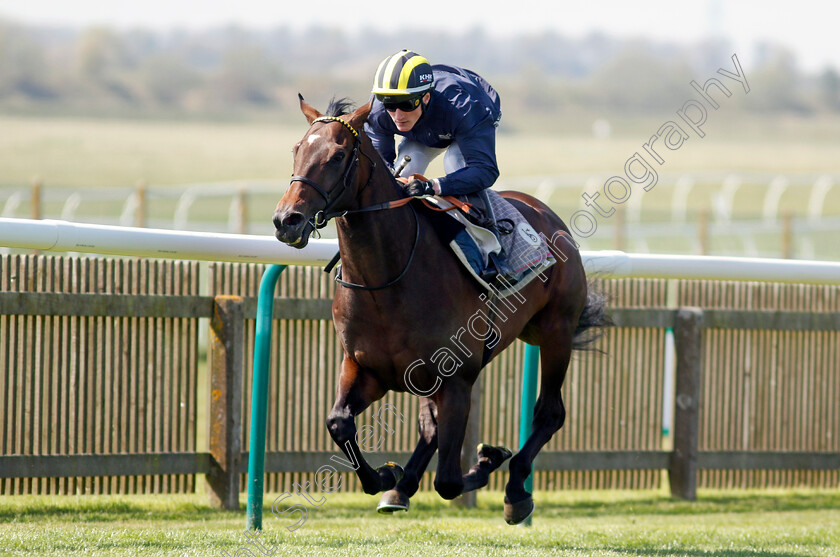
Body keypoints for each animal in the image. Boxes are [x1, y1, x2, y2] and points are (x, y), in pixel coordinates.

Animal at [272, 93, 608, 524]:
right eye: (297, 150)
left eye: (338, 155)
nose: (286, 220)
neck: (388, 280)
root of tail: (544, 211)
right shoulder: (365, 368)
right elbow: (339, 423)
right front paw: (386, 476)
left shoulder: (457, 378)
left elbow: (448, 480)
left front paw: (489, 459)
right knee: (429, 429)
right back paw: (401, 488)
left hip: (556, 332)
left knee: (550, 413)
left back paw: (516, 490)